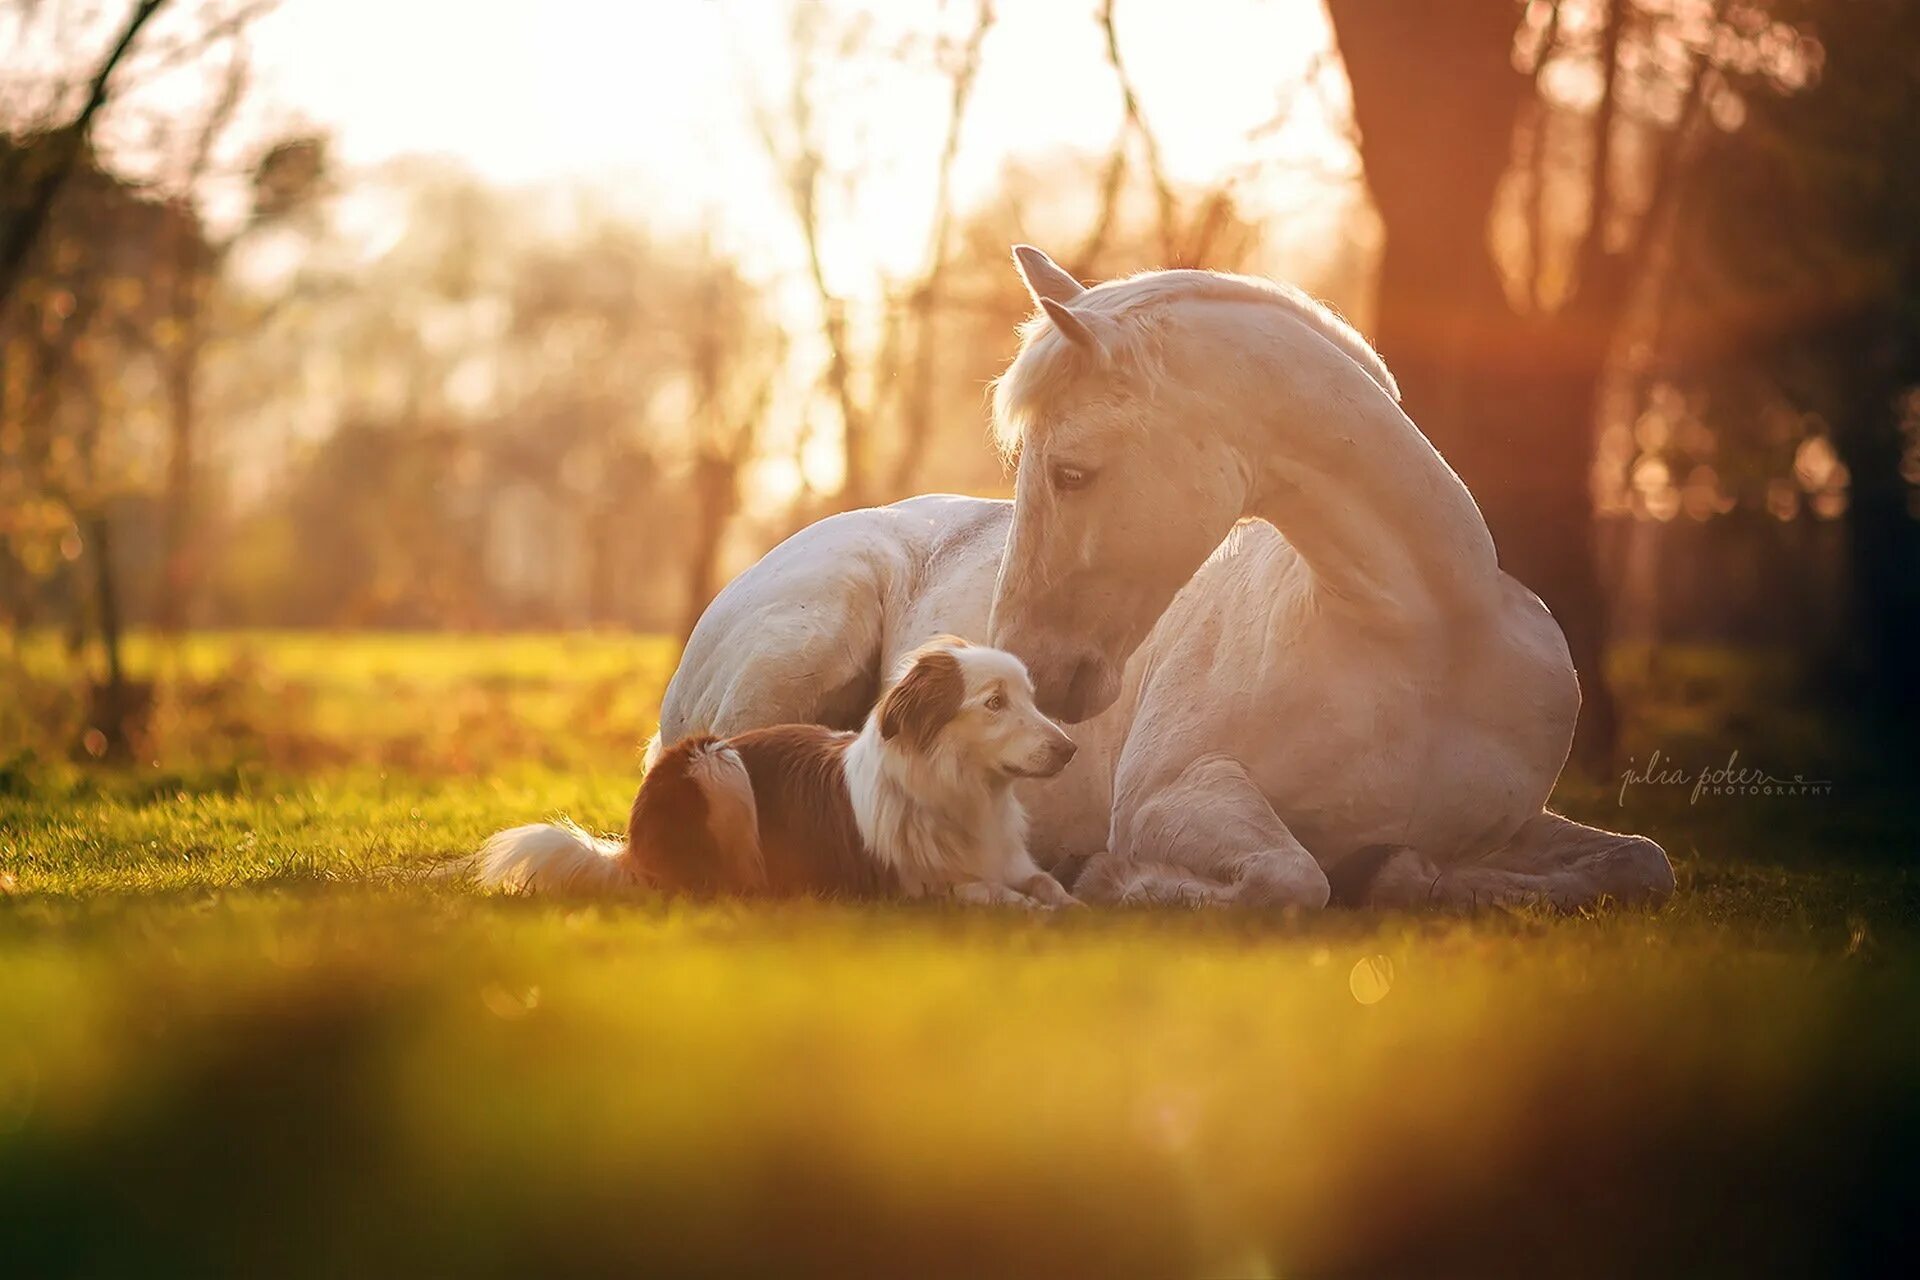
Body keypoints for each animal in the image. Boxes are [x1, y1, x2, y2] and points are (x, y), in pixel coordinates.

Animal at [468, 637, 1082, 901]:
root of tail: (632, 850)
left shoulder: (1009, 860)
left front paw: (1077, 911)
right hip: (715, 763)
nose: (1071, 749)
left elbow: (1047, 884)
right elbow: (993, 895)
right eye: (995, 703)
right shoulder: (917, 887)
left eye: (1030, 698)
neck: (966, 792)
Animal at [652, 247, 1674, 909]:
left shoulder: (1512, 825)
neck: (1425, 644)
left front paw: (1411, 875)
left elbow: (1640, 864)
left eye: (1071, 473)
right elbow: (1290, 878)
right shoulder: (1172, 796)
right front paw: (1113, 882)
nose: (1019, 668)